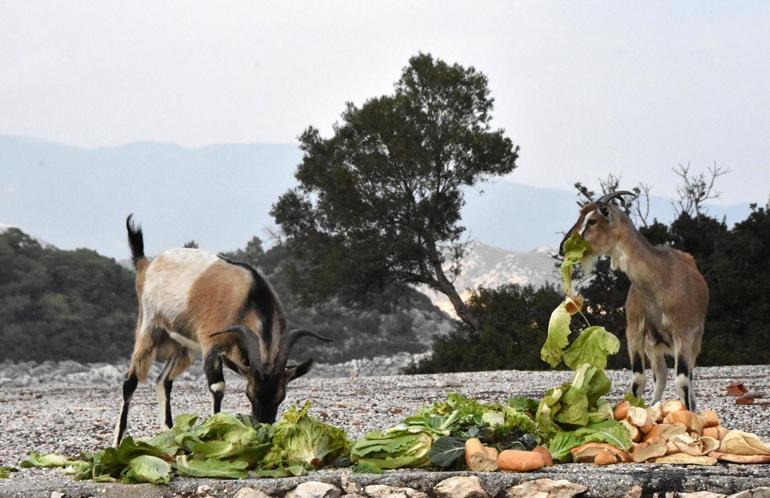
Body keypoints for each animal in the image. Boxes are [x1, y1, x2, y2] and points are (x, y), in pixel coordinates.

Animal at [114, 216, 328, 446]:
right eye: (249, 394)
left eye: (282, 396)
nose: (265, 424)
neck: (249, 297)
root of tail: (146, 265)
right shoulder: (212, 343)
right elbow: (218, 387)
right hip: (148, 329)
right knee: (130, 381)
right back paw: (118, 440)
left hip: (182, 347)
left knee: (163, 381)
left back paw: (169, 432)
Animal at [560, 191, 708, 408]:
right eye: (580, 216)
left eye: (592, 221)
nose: (563, 247)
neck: (659, 279)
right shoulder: (635, 331)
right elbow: (638, 378)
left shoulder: (683, 333)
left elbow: (682, 379)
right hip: (653, 345)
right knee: (661, 374)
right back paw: (654, 404)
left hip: (692, 341)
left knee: (687, 374)